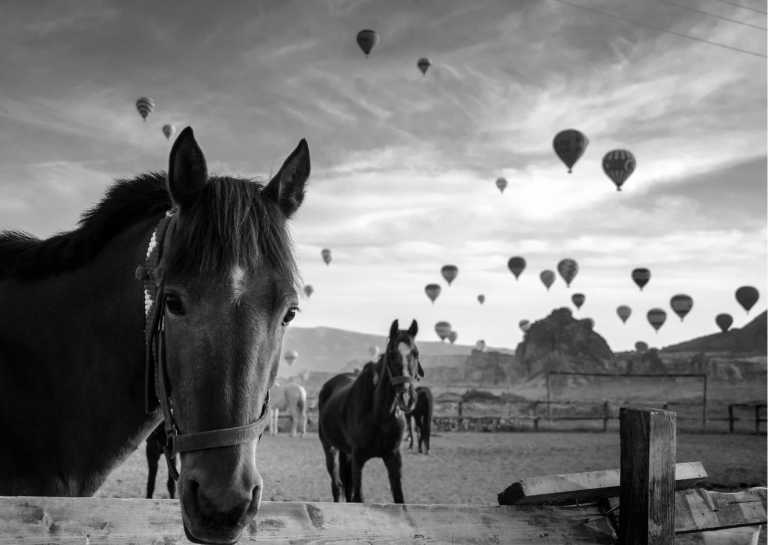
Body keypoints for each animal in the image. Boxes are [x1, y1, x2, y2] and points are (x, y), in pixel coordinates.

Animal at [320, 318, 426, 502]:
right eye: (391, 354)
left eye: (416, 353)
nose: (407, 396)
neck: (379, 415)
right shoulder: (358, 459)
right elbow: (358, 497)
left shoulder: (393, 458)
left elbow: (399, 498)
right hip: (330, 449)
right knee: (337, 486)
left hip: (346, 453)